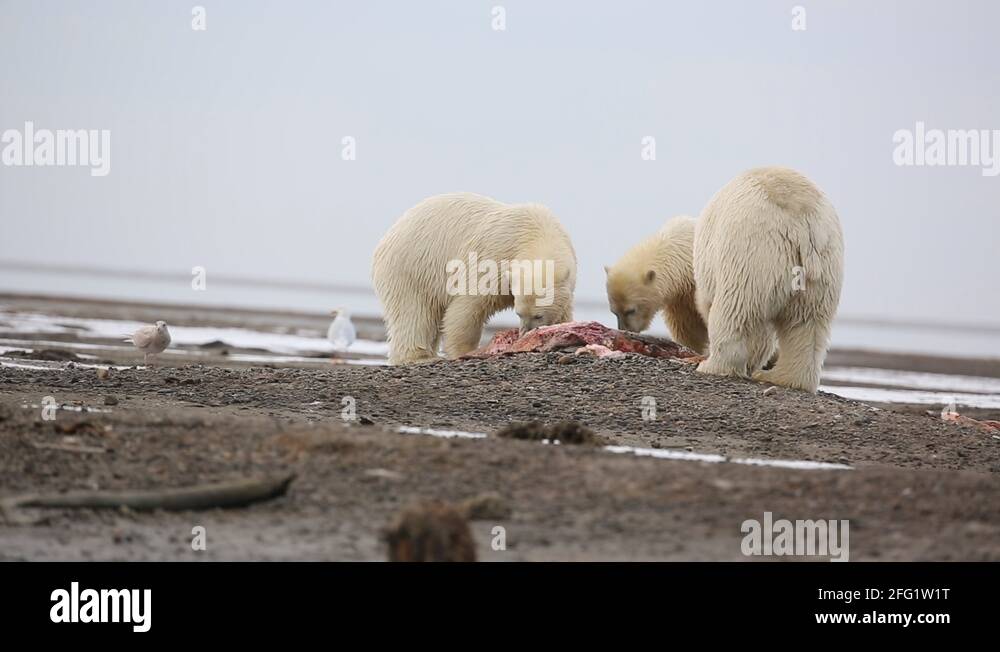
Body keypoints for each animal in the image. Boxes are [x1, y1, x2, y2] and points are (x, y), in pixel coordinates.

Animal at [374, 194, 580, 366]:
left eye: (538, 315)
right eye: (519, 313)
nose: (525, 333)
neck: (537, 232)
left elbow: (563, 310)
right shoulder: (495, 258)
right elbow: (467, 307)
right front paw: (465, 351)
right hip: (413, 267)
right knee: (414, 313)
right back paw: (420, 357)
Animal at [604, 168, 848, 392]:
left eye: (630, 310)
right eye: (614, 311)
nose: (625, 330)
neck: (679, 248)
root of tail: (801, 224)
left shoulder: (699, 276)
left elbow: (693, 318)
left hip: (752, 256)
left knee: (735, 311)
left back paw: (715, 366)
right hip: (821, 268)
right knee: (807, 322)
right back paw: (784, 378)